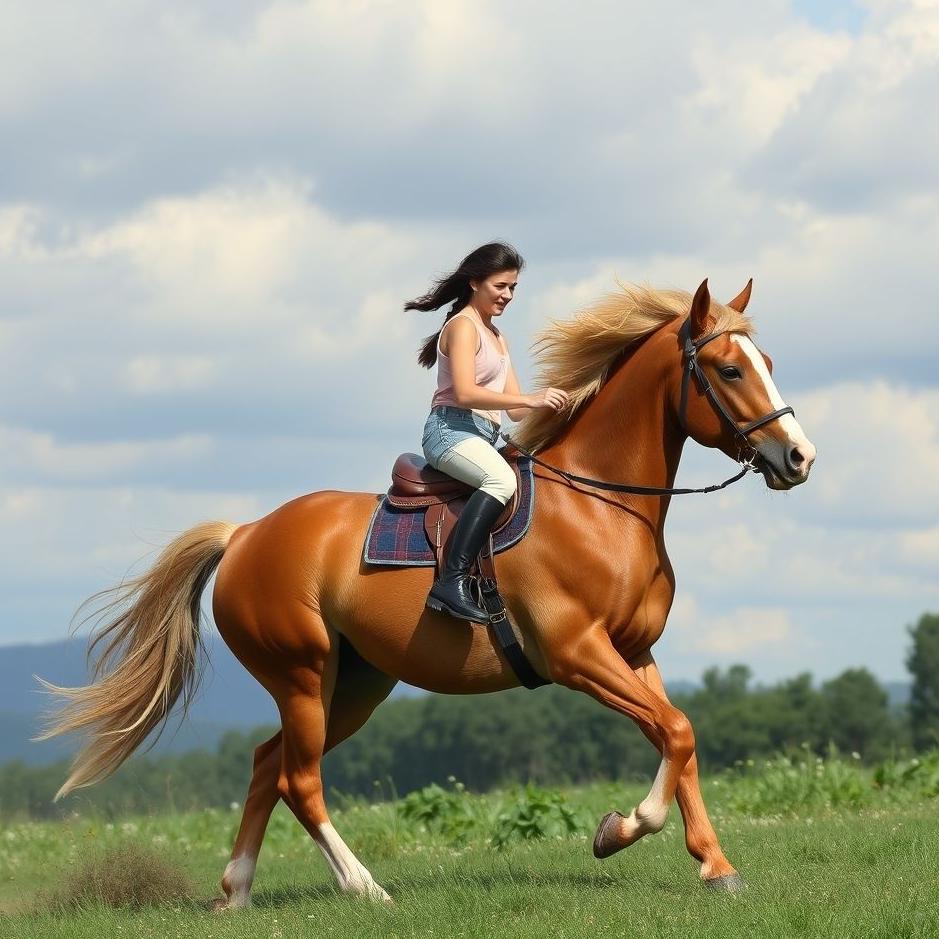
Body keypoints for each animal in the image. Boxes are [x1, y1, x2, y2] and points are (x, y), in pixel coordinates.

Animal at [39, 278, 816, 906]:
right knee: (299, 779)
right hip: (302, 674)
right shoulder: (577, 655)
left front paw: (714, 866)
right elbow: (675, 732)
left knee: (268, 765)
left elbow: (677, 735)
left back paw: (237, 892)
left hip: (353, 684)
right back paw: (364, 887)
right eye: (728, 368)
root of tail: (246, 533)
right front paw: (617, 829)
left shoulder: (634, 652)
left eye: (769, 365)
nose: (799, 457)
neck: (600, 504)